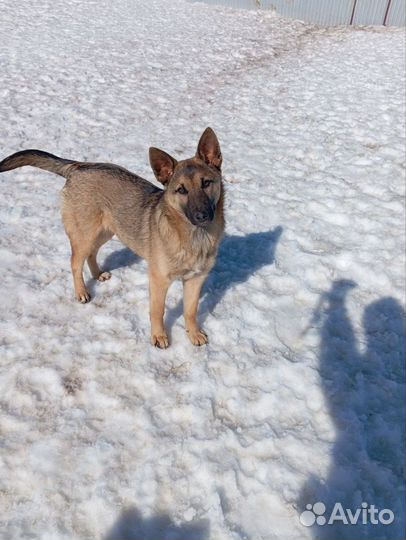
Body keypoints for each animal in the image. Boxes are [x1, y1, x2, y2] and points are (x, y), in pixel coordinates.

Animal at [0, 127, 225, 348]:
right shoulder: (159, 280)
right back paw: (81, 292)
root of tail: (78, 167)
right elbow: (157, 311)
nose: (202, 216)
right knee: (75, 262)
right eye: (181, 190)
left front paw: (193, 333)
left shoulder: (196, 280)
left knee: (92, 254)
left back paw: (98, 274)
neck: (195, 237)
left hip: (106, 231)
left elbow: (191, 311)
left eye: (206, 183)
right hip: (85, 234)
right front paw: (159, 336)